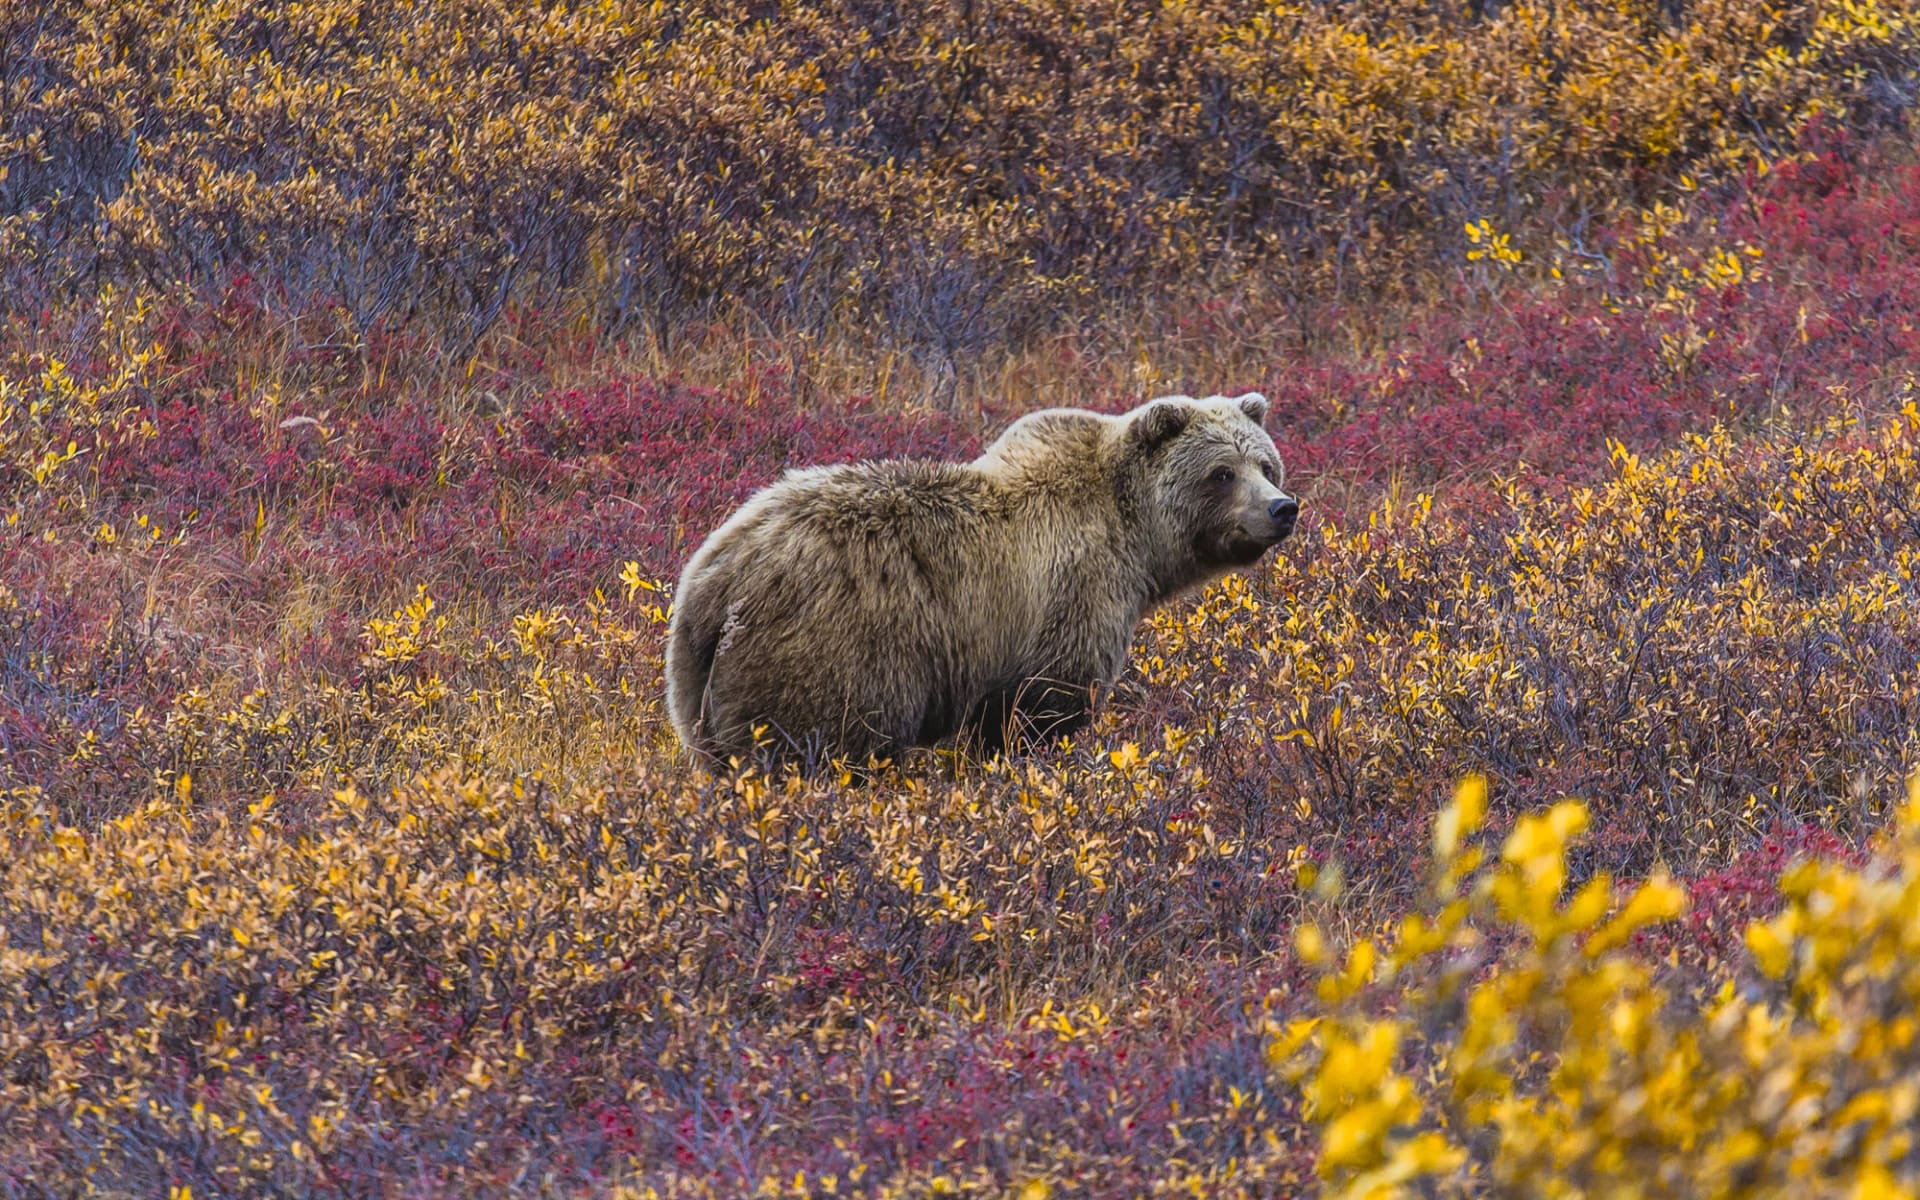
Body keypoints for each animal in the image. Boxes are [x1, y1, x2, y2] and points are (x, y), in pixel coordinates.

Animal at [664, 392, 1298, 764]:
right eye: (1222, 472)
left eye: (1266, 464)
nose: (1281, 508)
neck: (1136, 536)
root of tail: (716, 581)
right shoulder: (1070, 595)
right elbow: (1041, 707)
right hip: (831, 652)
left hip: (695, 684)